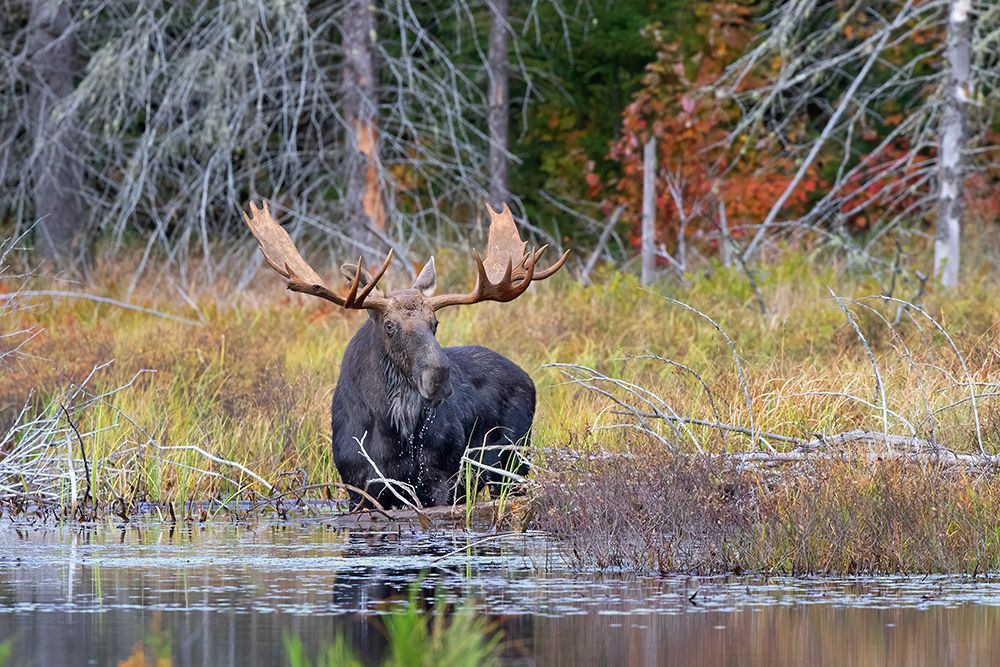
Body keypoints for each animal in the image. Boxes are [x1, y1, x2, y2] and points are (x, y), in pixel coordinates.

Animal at [242, 200, 568, 509]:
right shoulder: (358, 487)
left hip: (514, 459)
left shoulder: (442, 481)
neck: (390, 433)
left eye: (435, 323)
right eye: (389, 325)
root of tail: (527, 378)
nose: (438, 376)